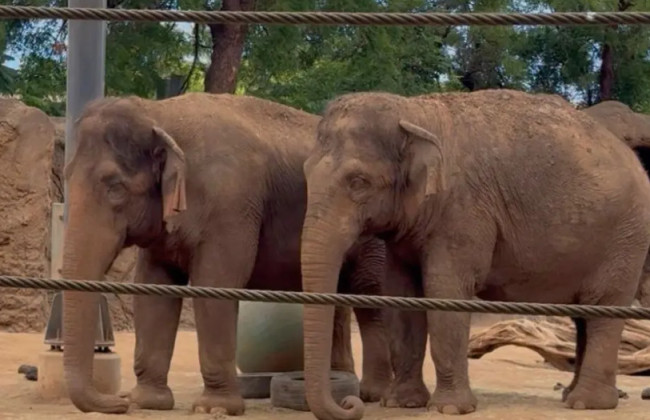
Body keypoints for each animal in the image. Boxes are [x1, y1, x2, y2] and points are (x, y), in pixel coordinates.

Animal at [59, 92, 425, 414]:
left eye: (115, 188)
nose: (117, 402)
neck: (160, 113)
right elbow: (153, 289)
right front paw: (146, 402)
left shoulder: (231, 206)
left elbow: (215, 283)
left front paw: (214, 408)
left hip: (374, 232)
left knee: (368, 294)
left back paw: (371, 394)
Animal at [298, 88, 650, 420]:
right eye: (305, 171)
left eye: (358, 181)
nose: (350, 403)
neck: (414, 111)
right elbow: (402, 298)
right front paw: (402, 403)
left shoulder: (462, 211)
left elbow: (446, 294)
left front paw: (450, 409)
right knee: (583, 316)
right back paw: (572, 396)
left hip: (625, 238)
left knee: (604, 309)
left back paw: (587, 404)